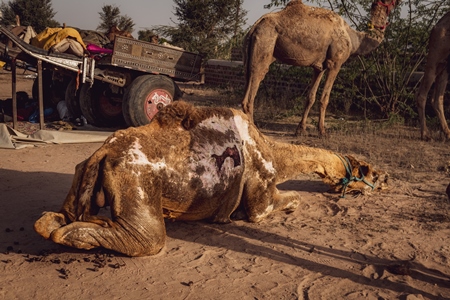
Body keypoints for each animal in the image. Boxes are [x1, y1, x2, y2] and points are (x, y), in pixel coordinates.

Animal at [35, 101, 386, 255]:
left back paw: (66, 225)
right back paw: (77, 235)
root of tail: (103, 152)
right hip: (137, 182)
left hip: (82, 174)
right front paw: (235, 217)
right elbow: (282, 203)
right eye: (371, 172)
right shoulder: (262, 188)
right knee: (147, 238)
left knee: (55, 217)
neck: (275, 152)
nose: (386, 179)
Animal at [243, 0, 400, 136]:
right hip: (265, 43)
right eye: (390, 1)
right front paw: (323, 131)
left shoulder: (320, 67)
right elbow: (325, 98)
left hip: (254, 53)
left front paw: (301, 130)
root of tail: (254, 27)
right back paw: (254, 131)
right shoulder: (335, 63)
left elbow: (310, 97)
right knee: (254, 87)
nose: (398, 2)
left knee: (248, 79)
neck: (353, 39)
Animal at [414, 10, 450, 139]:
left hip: (445, 67)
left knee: (437, 98)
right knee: (422, 95)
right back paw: (425, 134)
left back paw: (447, 133)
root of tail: (435, 28)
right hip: (434, 60)